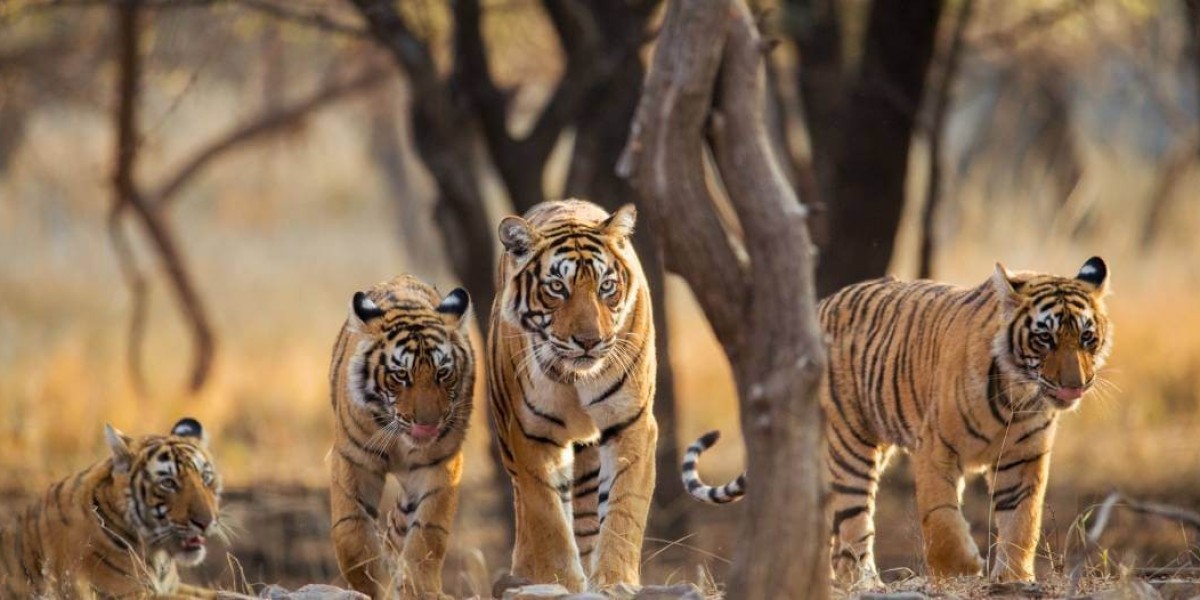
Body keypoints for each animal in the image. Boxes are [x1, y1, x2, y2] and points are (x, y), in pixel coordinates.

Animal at [327, 275, 473, 600]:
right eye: (400, 375)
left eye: (443, 373)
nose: (428, 424)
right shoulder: (353, 459)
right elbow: (351, 534)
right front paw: (370, 585)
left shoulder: (440, 464)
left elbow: (427, 534)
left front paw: (418, 588)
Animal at [488, 199, 657, 592]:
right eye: (556, 288)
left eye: (606, 286)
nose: (589, 341)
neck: (576, 377)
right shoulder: (532, 434)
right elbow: (547, 518)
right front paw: (559, 580)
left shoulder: (631, 423)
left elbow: (624, 510)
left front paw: (614, 581)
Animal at [682, 257, 1113, 586]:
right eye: (1045, 339)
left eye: (1086, 338)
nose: (1075, 385)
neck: (1017, 395)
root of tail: (819, 305)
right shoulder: (936, 448)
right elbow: (940, 517)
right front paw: (961, 569)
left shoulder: (1023, 459)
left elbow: (1022, 521)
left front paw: (1014, 578)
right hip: (851, 445)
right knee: (854, 526)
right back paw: (865, 583)